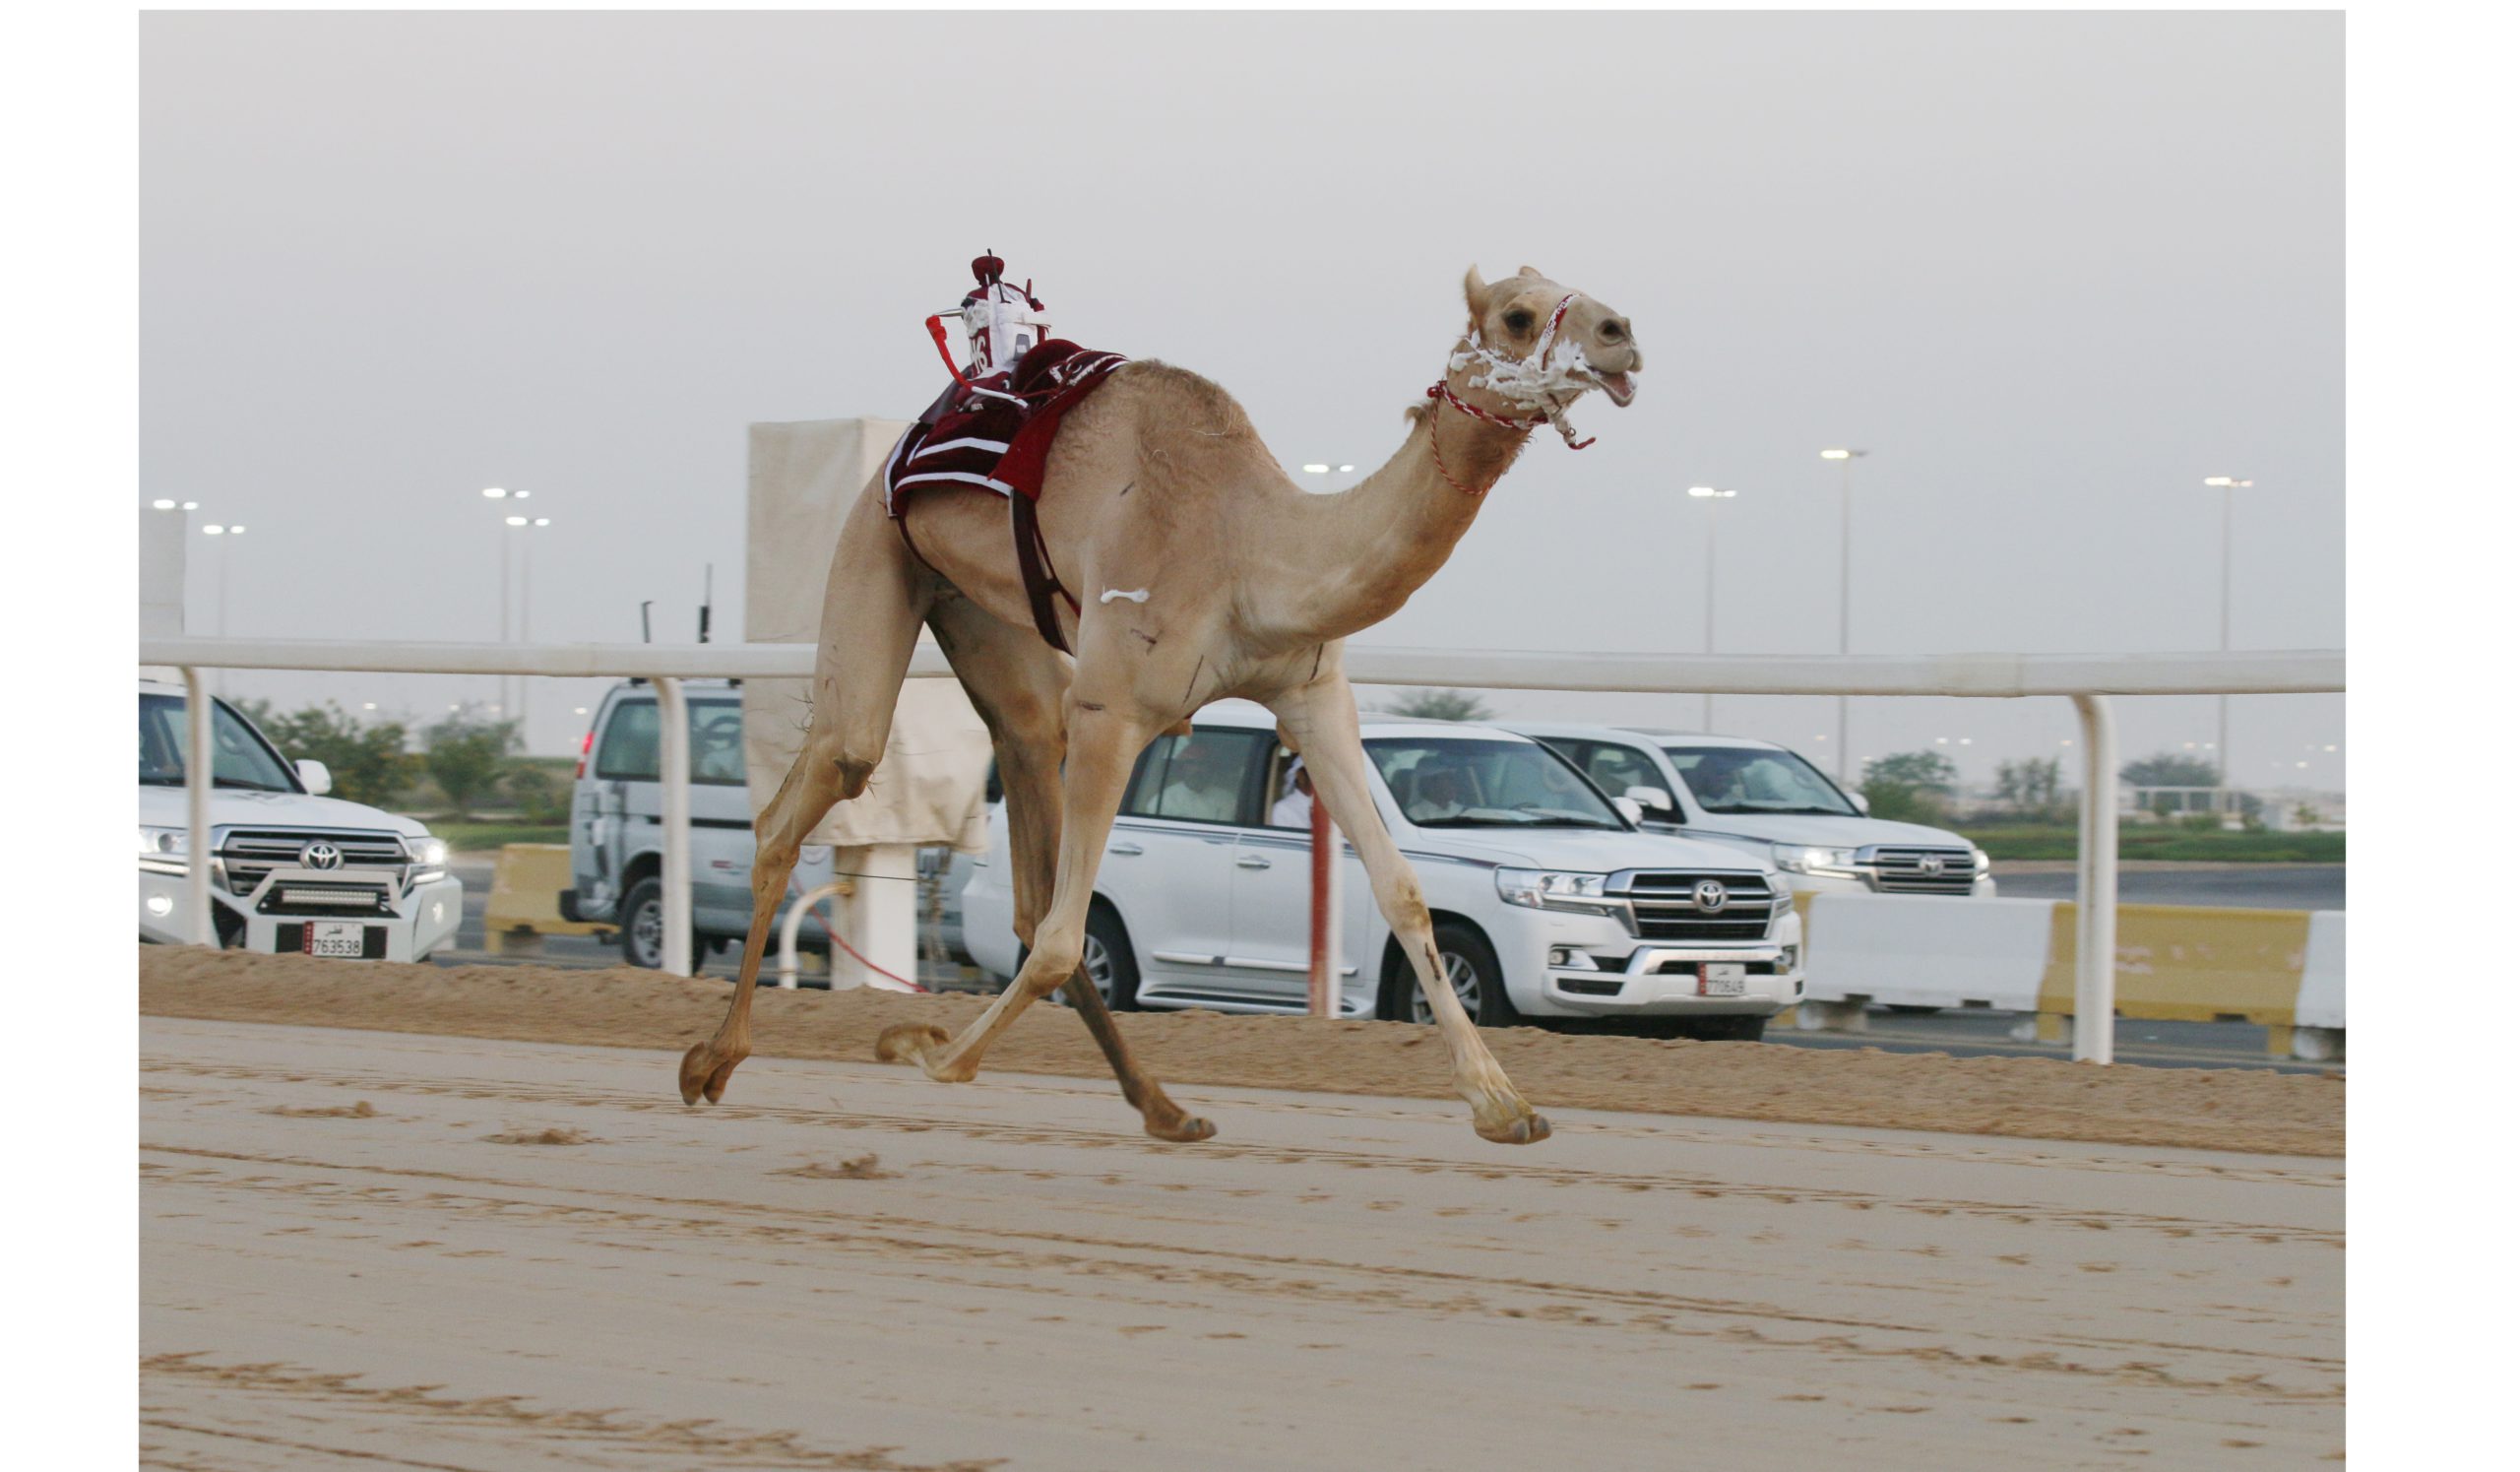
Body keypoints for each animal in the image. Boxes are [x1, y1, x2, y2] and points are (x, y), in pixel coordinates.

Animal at [680, 269, 1643, 1154]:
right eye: (1518, 313)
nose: (1622, 334)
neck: (1250, 548)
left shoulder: (1311, 696)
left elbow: (1404, 892)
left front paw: (1504, 1104)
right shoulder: (1113, 708)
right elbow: (1063, 938)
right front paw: (926, 1050)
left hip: (981, 615)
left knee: (1023, 794)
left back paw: (1166, 1107)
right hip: (878, 544)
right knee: (821, 783)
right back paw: (710, 1061)